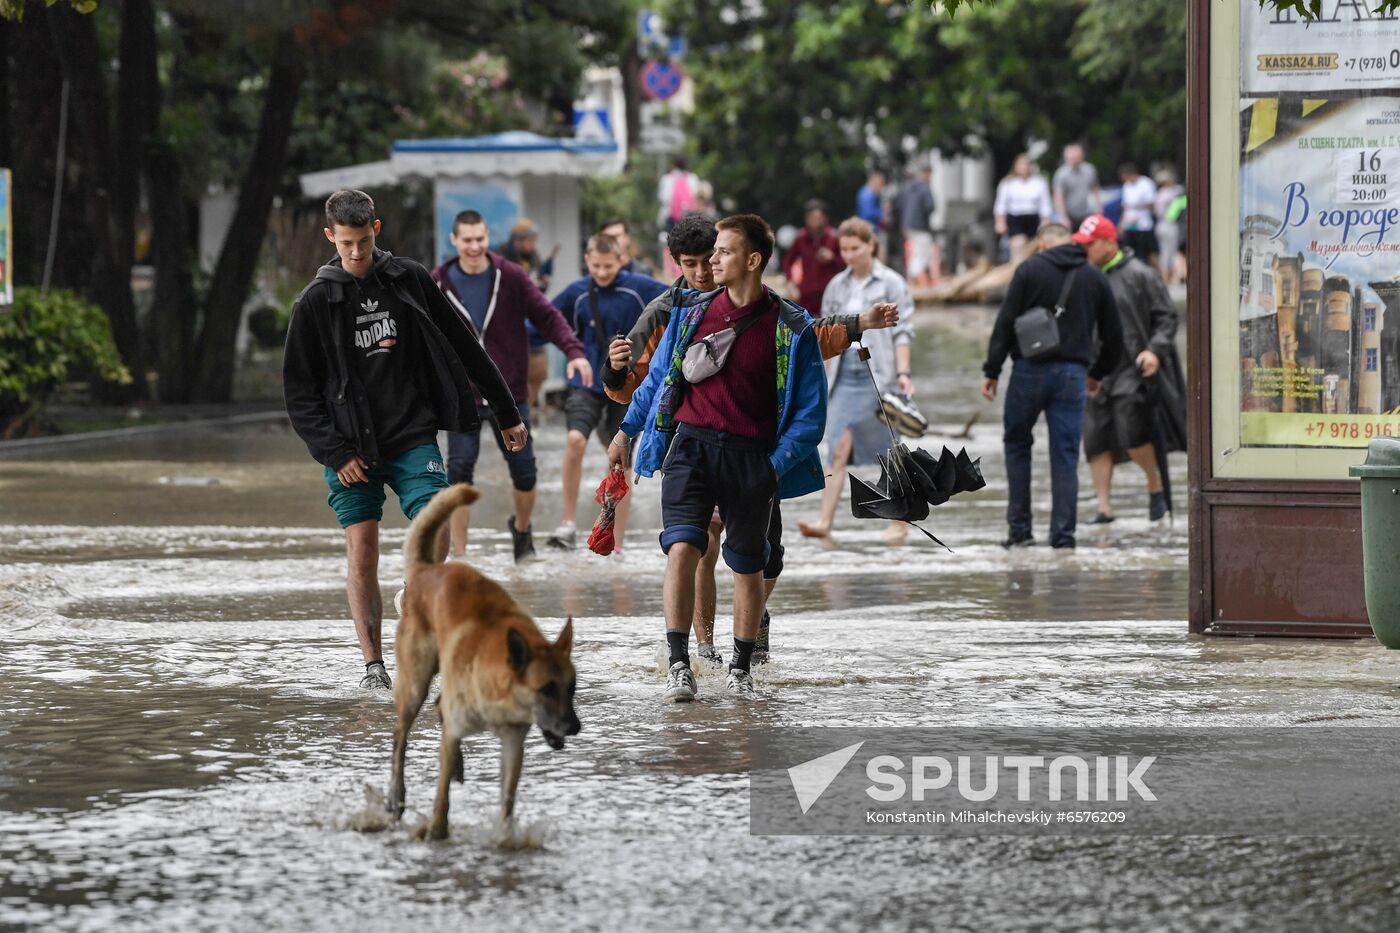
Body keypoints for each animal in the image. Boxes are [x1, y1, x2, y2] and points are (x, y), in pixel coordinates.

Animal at [389, 481, 579, 840]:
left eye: (571, 689)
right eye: (546, 688)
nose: (575, 727)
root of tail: (426, 570)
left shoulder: (514, 743)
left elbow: (508, 798)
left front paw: (504, 837)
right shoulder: (456, 728)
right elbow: (441, 796)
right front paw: (436, 830)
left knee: (439, 708)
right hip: (414, 685)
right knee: (400, 737)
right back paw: (396, 796)